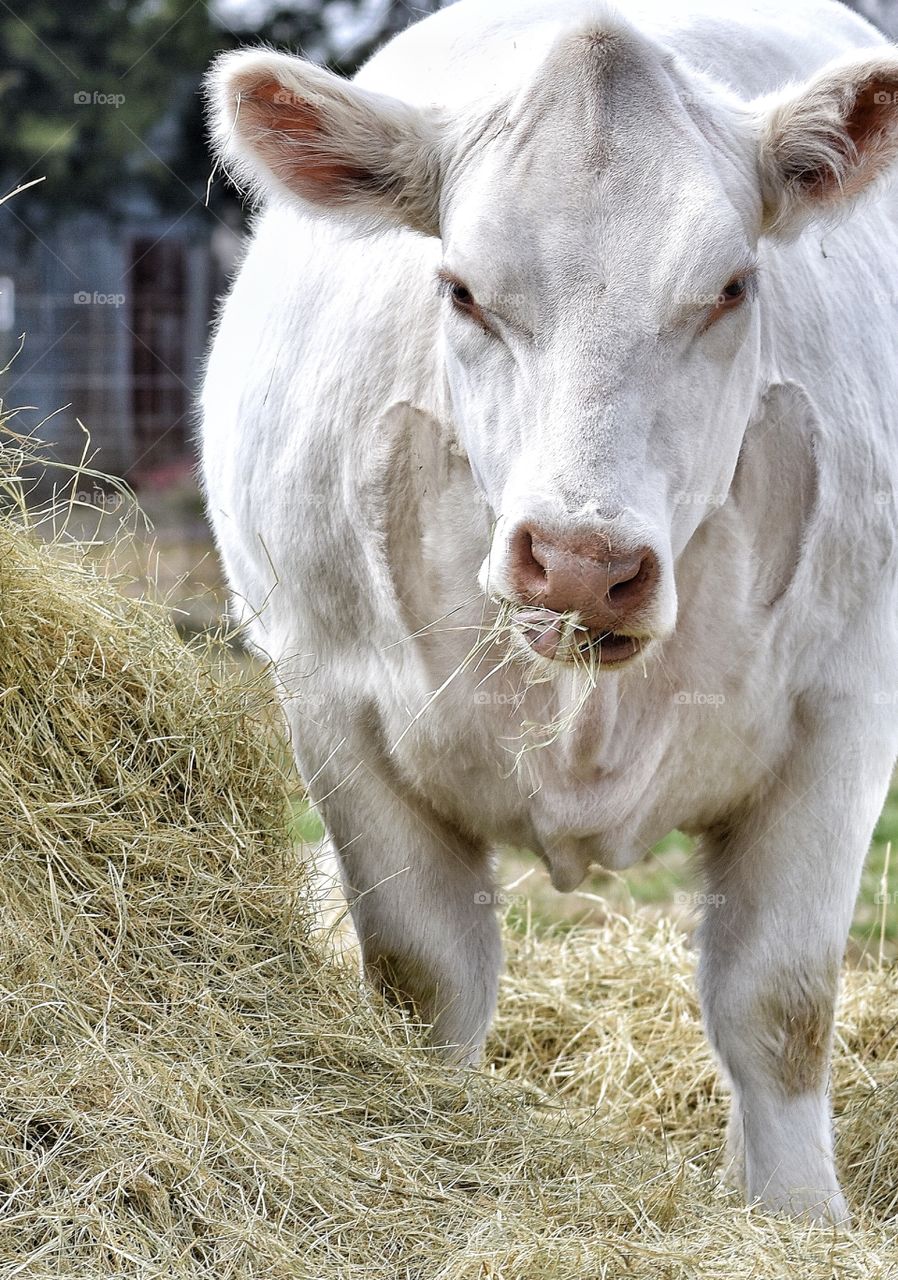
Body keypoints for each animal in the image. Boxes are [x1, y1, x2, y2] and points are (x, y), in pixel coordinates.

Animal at [200, 0, 898, 1218]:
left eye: (731, 286)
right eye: (461, 288)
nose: (578, 566)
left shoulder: (847, 711)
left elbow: (780, 1001)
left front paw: (795, 1217)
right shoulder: (333, 705)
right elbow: (422, 980)